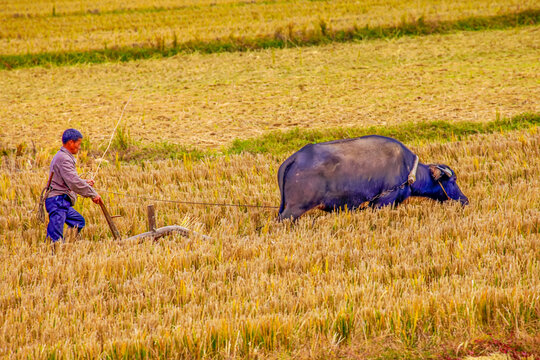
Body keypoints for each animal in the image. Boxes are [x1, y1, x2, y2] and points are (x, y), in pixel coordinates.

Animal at [278, 134, 468, 221]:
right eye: (453, 180)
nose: (465, 200)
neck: (407, 170)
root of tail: (295, 158)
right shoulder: (383, 201)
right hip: (295, 208)